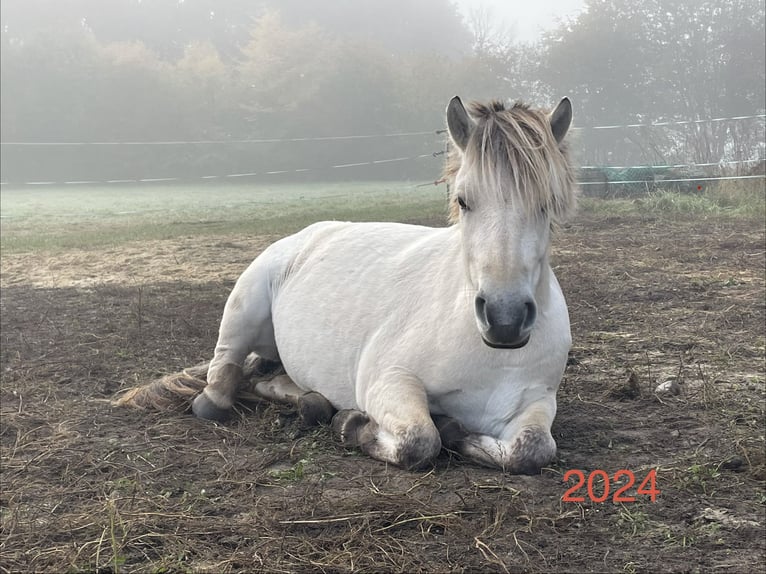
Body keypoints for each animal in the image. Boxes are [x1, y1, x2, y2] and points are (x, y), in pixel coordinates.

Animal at [117, 95, 578, 473]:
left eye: (546, 204)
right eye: (463, 200)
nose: (504, 319)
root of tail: (306, 234)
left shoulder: (536, 401)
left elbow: (533, 450)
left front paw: (456, 431)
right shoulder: (389, 381)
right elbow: (420, 440)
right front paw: (354, 424)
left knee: (270, 382)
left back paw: (313, 403)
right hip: (242, 310)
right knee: (222, 380)